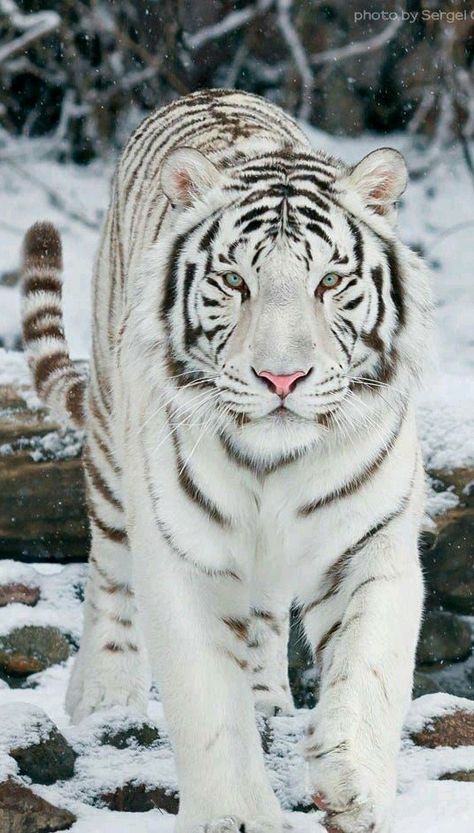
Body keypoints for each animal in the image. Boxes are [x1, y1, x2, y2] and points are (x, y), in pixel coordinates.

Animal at [21, 89, 430, 832]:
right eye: (235, 280)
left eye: (331, 280)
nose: (282, 377)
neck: (275, 467)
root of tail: (209, 92)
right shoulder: (183, 553)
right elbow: (207, 697)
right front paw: (237, 815)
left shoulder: (369, 540)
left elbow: (370, 669)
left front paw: (350, 782)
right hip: (112, 455)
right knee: (109, 574)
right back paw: (104, 697)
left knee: (264, 615)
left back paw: (271, 699)